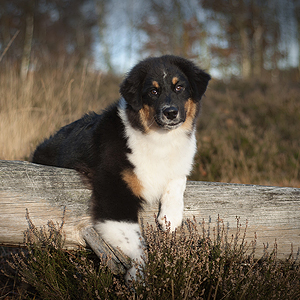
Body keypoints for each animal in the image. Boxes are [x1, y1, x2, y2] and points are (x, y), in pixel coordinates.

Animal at [32, 54, 211, 282]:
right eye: (153, 92)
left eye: (179, 87)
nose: (170, 112)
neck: (158, 138)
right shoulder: (114, 194)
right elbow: (136, 243)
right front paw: (138, 277)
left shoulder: (180, 162)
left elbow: (178, 178)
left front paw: (170, 216)